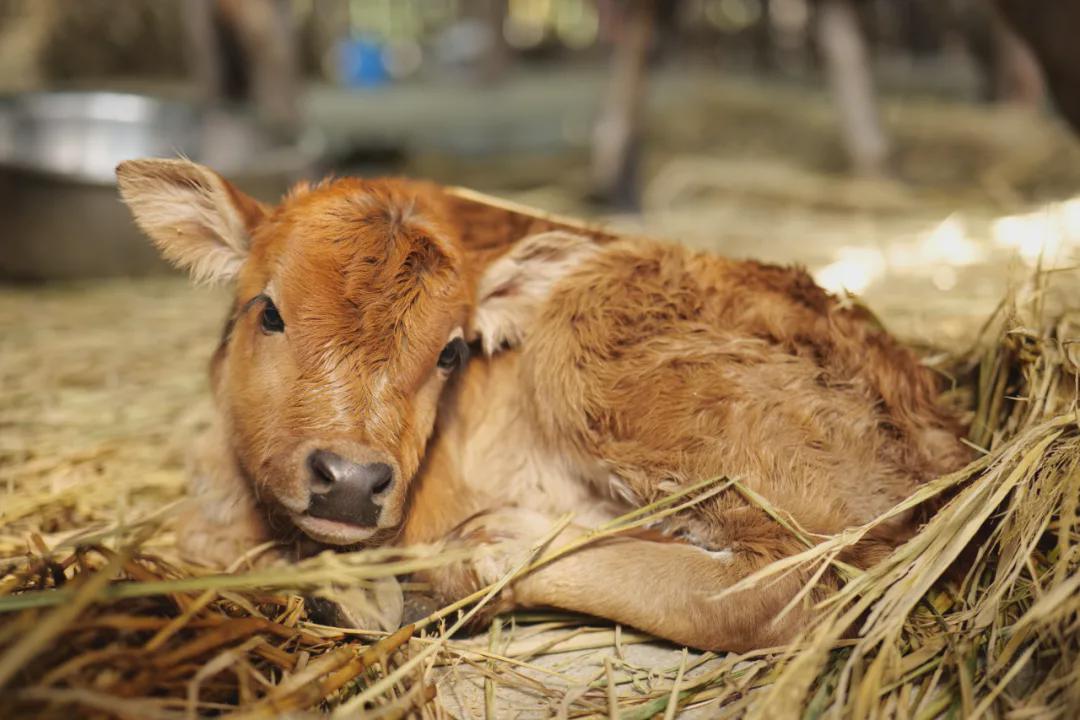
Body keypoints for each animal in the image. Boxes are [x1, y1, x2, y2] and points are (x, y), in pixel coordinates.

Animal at [118, 158, 972, 651]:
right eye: (267, 311)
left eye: (452, 352)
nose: (353, 481)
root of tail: (936, 421)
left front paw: (354, 590)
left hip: (605, 365)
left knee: (786, 591)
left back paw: (465, 563)